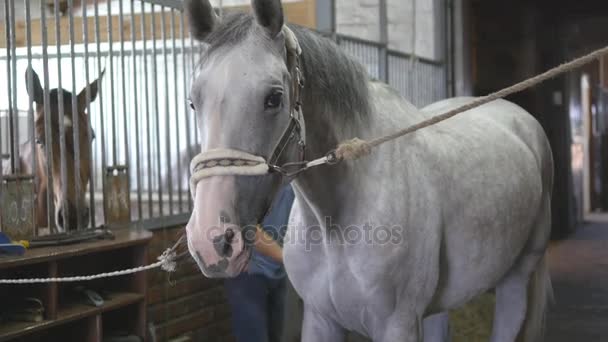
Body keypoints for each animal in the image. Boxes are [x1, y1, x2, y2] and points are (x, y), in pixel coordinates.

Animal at [183, 1, 552, 340]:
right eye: (192, 102)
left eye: (273, 98)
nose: (212, 241)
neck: (336, 221)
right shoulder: (320, 319)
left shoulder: (399, 325)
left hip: (516, 280)